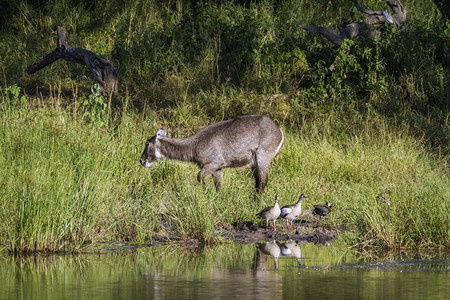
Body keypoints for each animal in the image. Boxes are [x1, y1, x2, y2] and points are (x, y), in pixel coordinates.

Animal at [140, 115, 284, 195]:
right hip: (254, 163)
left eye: (147, 143)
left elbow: (199, 176)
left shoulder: (215, 163)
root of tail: (279, 130)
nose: (141, 161)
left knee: (262, 182)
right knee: (258, 182)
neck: (194, 145)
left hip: (263, 157)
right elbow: (218, 186)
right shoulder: (217, 168)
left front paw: (206, 191)